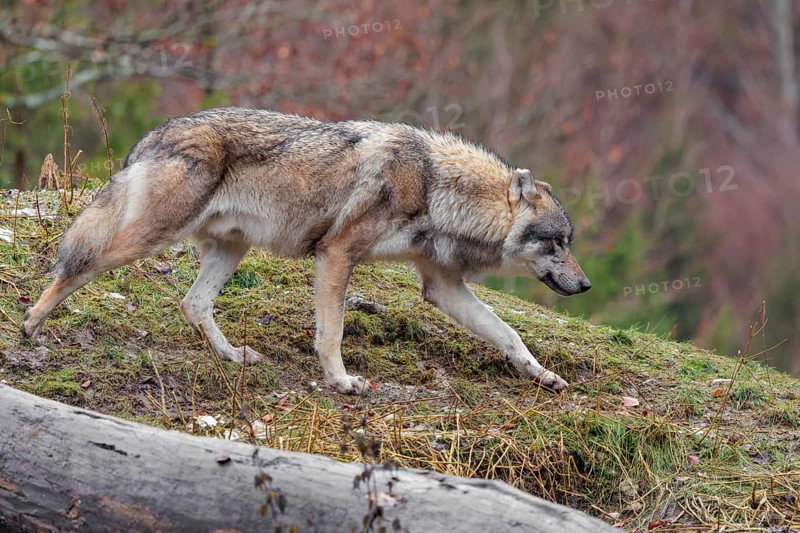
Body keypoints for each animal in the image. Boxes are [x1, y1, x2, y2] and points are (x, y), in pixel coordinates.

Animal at [21, 107, 591, 394]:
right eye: (556, 242)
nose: (584, 285)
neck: (435, 187)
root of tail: (157, 133)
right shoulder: (336, 256)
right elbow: (331, 333)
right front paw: (341, 382)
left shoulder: (441, 285)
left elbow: (509, 333)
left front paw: (543, 375)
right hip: (148, 238)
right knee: (76, 266)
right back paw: (30, 324)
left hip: (231, 250)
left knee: (192, 304)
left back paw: (233, 356)